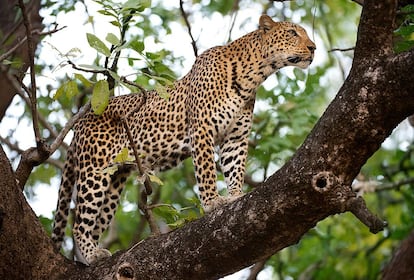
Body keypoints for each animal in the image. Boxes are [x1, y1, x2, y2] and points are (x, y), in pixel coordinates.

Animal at [51, 15, 316, 264]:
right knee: (79, 223)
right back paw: (91, 254)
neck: (254, 74)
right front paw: (213, 203)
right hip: (95, 171)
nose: (313, 48)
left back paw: (94, 253)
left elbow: (235, 168)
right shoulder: (202, 128)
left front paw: (235, 196)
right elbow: (207, 170)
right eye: (292, 33)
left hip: (115, 180)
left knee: (96, 221)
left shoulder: (236, 138)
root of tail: (82, 121)